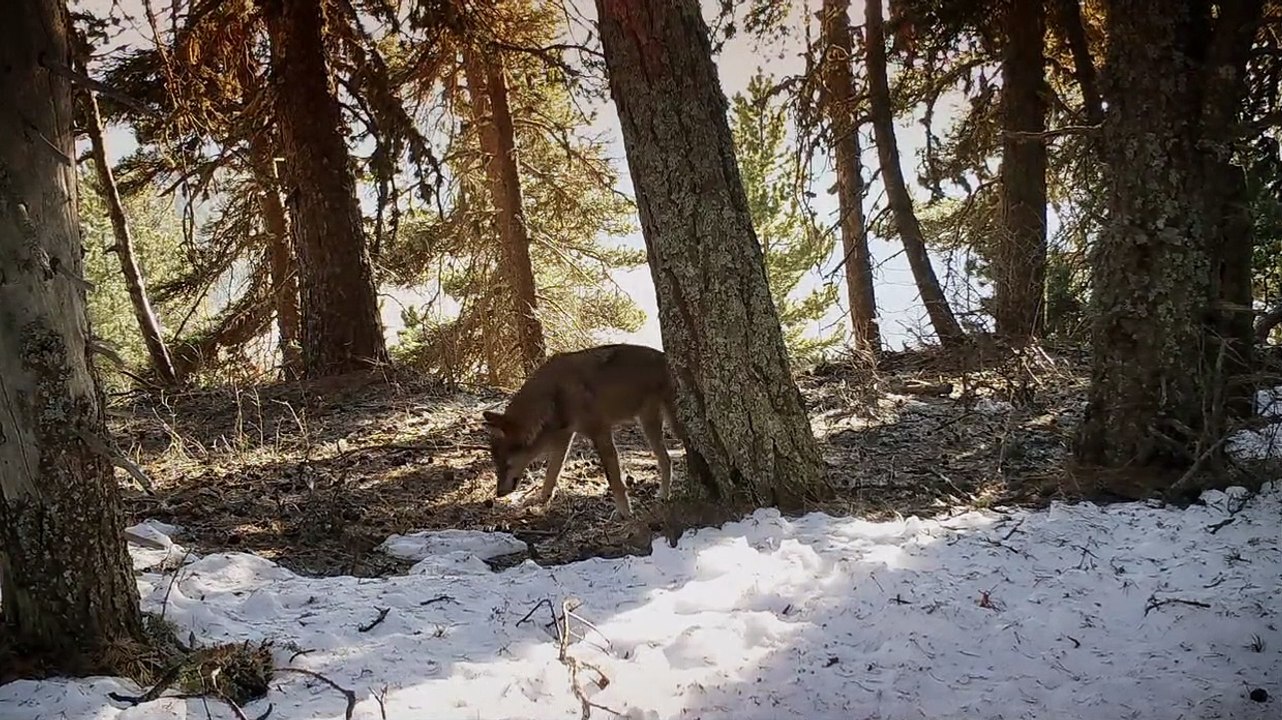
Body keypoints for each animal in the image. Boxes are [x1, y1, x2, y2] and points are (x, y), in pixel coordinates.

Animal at [482, 340, 682, 515]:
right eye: (496, 464)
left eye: (505, 465)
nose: (498, 493)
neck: (553, 396)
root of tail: (666, 357)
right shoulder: (565, 438)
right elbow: (551, 474)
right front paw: (541, 500)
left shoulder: (600, 433)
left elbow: (614, 480)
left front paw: (624, 513)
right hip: (648, 425)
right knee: (666, 460)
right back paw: (663, 496)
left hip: (670, 426)